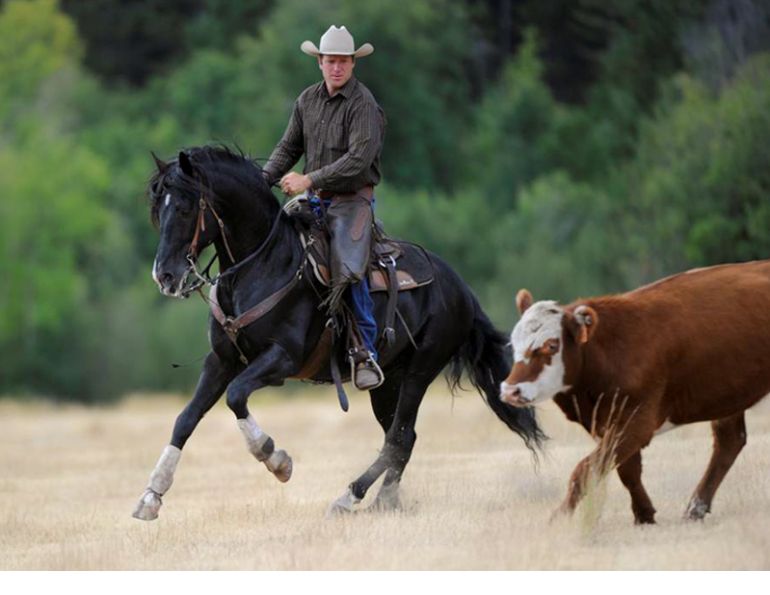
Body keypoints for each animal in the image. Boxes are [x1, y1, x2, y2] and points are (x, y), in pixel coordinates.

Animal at [133, 145, 544, 520]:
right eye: (158, 211)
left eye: (185, 208)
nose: (164, 275)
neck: (263, 265)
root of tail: (462, 290)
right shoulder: (221, 361)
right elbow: (186, 418)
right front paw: (151, 496)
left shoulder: (281, 358)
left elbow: (236, 397)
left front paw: (276, 458)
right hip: (388, 381)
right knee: (401, 437)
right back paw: (385, 501)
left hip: (420, 371)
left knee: (398, 437)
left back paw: (350, 496)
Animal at [500, 260, 770, 524]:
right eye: (513, 343)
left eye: (552, 345)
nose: (510, 390)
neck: (612, 347)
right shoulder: (613, 423)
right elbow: (627, 471)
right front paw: (644, 514)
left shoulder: (637, 422)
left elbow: (586, 469)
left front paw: (559, 518)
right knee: (730, 442)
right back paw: (696, 508)